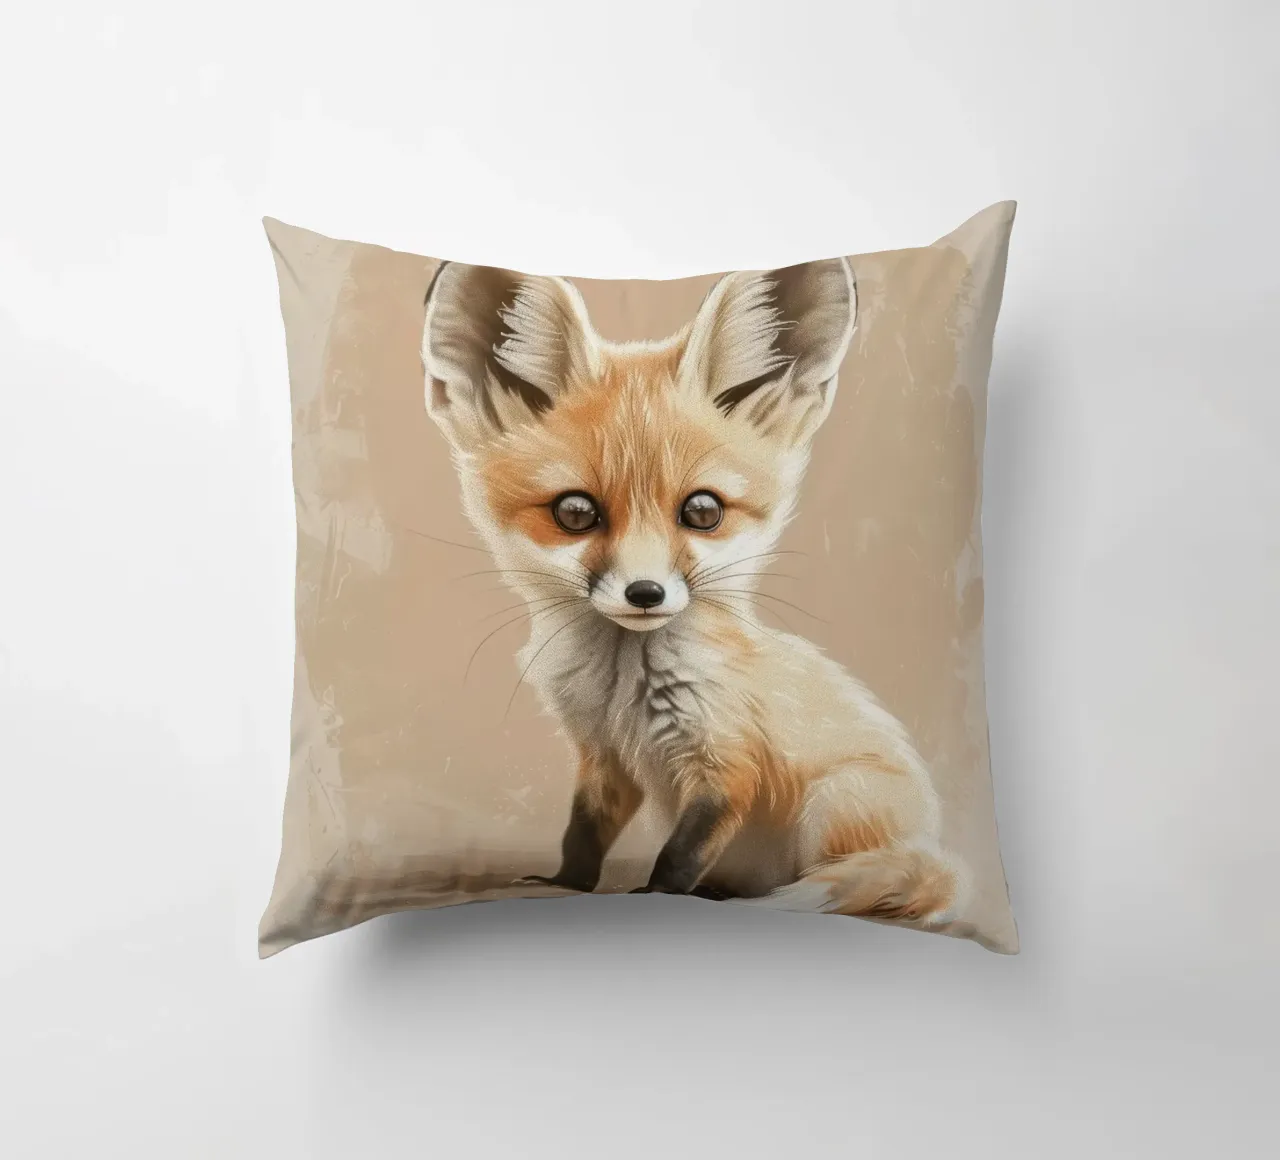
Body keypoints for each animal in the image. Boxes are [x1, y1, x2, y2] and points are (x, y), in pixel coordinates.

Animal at [420, 256, 967, 930]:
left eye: (703, 511)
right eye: (575, 512)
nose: (646, 592)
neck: (623, 689)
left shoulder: (727, 762)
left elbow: (681, 854)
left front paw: (657, 897)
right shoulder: (604, 757)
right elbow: (582, 832)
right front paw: (566, 883)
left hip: (835, 803)